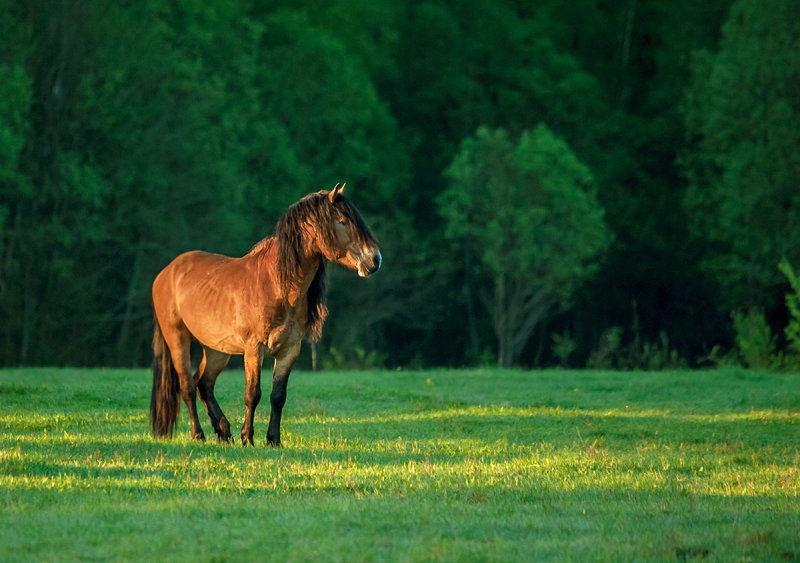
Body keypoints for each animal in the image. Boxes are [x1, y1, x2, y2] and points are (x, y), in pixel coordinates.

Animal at [149, 184, 382, 446]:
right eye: (342, 221)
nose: (375, 260)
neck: (276, 285)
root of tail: (166, 272)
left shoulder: (289, 351)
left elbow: (278, 396)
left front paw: (273, 440)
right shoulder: (254, 348)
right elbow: (253, 394)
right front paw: (248, 438)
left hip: (217, 349)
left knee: (204, 383)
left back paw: (223, 432)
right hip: (177, 339)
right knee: (187, 386)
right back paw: (199, 434)